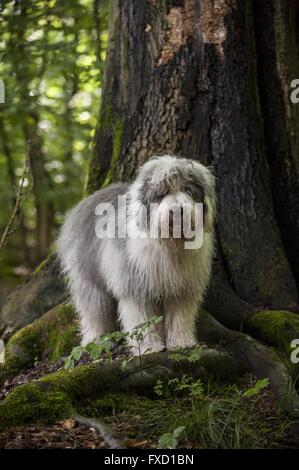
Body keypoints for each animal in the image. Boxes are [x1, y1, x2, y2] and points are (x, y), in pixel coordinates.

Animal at [56, 156, 216, 354]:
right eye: (161, 193)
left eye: (187, 188)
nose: (178, 211)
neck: (168, 243)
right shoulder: (135, 286)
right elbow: (142, 320)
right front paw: (149, 348)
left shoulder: (182, 288)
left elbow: (179, 317)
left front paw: (181, 343)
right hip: (88, 277)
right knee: (94, 310)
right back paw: (96, 339)